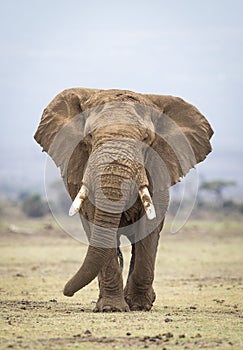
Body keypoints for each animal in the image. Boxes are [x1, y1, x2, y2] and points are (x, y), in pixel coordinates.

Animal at [34, 88, 213, 312]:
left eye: (146, 138)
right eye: (89, 136)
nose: (66, 291)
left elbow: (148, 230)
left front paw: (139, 306)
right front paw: (111, 308)